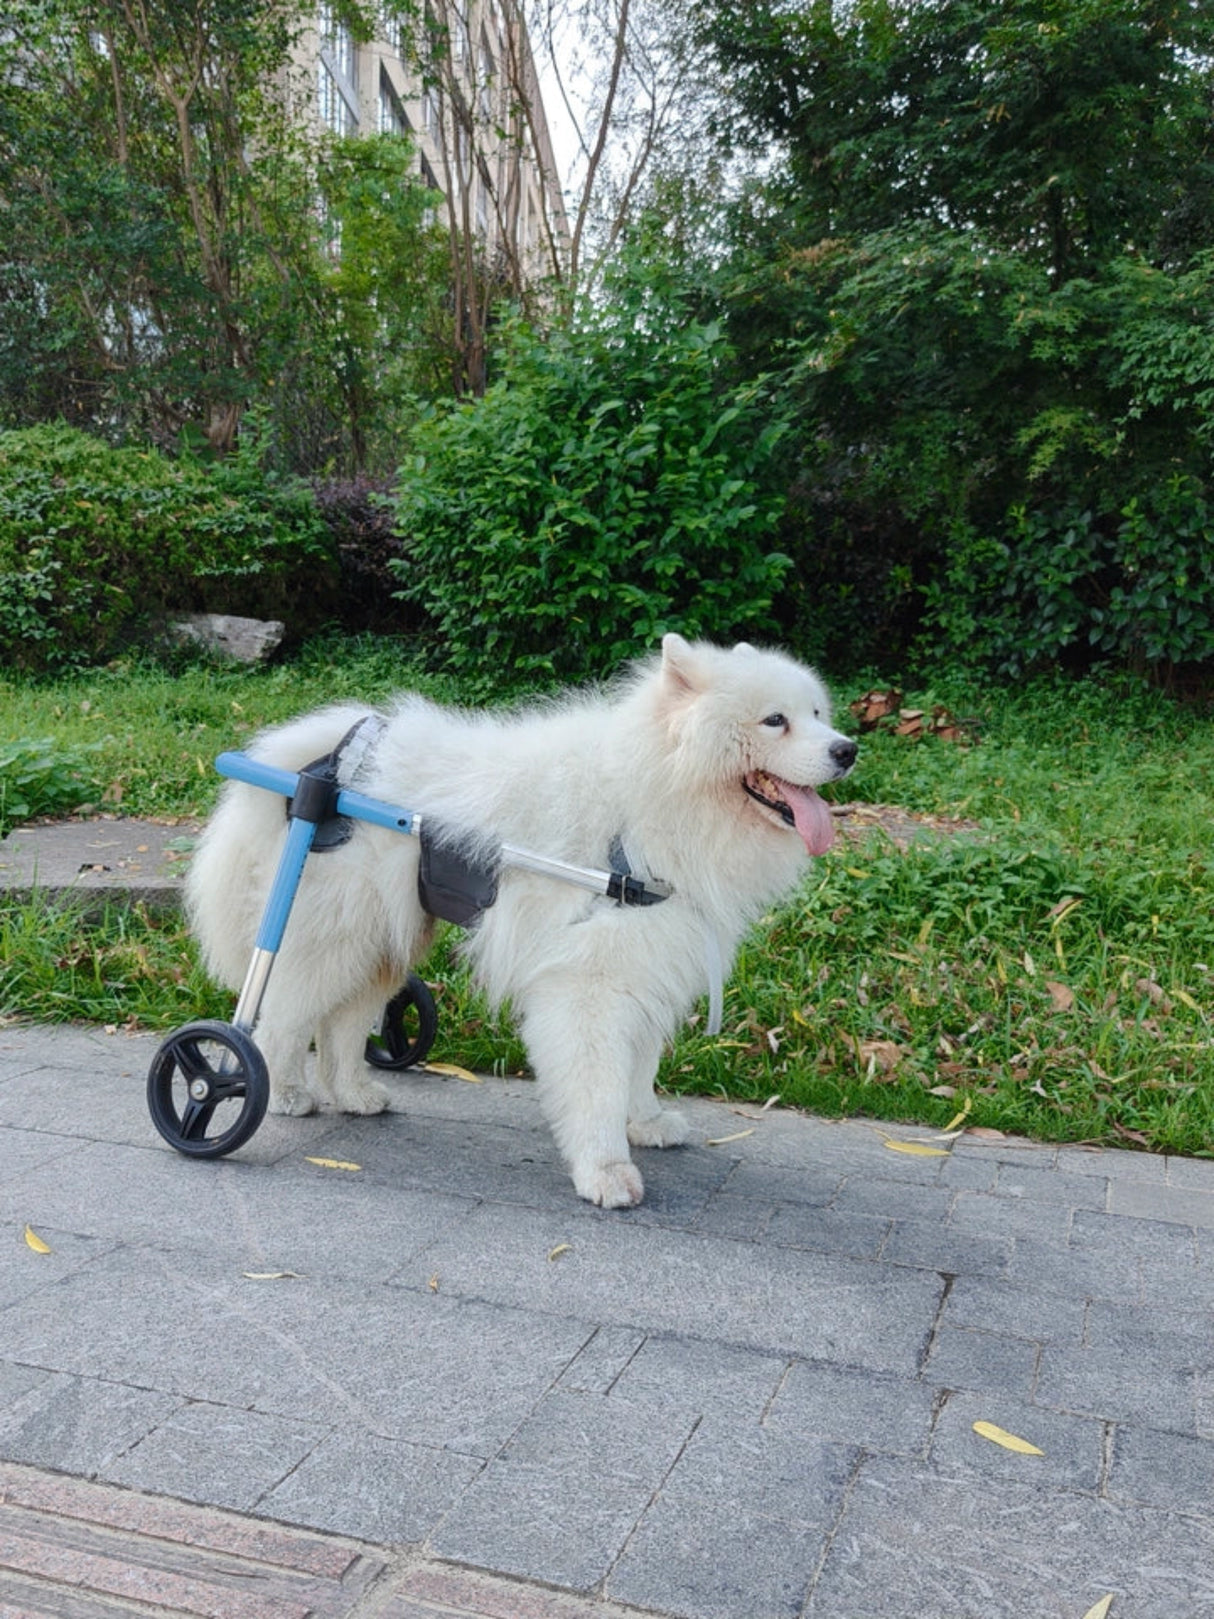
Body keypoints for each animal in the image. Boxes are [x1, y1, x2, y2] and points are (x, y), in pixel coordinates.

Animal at [187, 637, 854, 1211]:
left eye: (818, 713)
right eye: (775, 720)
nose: (847, 750)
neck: (655, 797)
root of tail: (329, 759)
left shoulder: (646, 968)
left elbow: (638, 1070)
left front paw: (645, 1123)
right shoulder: (589, 985)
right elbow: (596, 1087)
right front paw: (606, 1172)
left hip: (385, 941)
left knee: (343, 1025)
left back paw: (352, 1093)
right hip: (338, 939)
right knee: (282, 1018)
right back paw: (281, 1093)